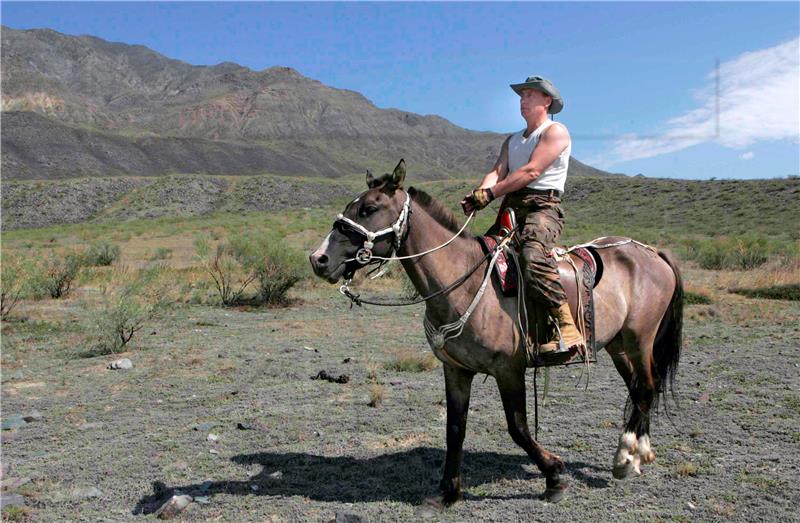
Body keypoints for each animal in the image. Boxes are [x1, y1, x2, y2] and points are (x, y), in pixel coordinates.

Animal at [306, 161, 680, 508]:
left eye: (368, 208)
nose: (318, 259)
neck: (463, 280)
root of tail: (651, 252)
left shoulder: (508, 369)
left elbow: (518, 427)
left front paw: (554, 476)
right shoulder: (456, 370)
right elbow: (455, 428)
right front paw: (447, 491)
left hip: (640, 339)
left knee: (646, 386)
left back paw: (625, 457)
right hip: (618, 346)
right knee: (640, 388)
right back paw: (639, 455)